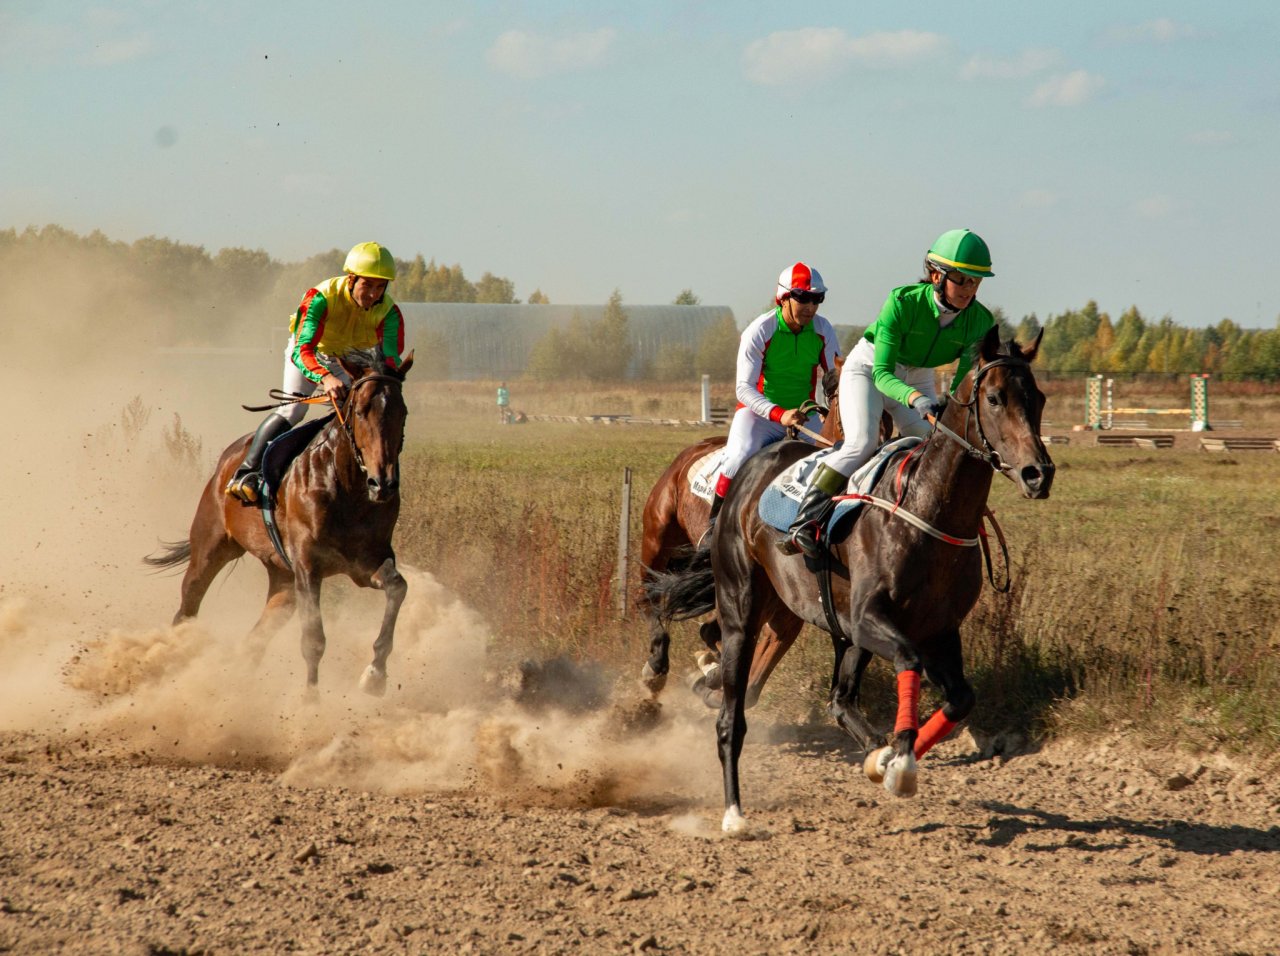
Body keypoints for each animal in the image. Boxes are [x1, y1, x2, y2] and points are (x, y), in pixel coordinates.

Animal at [145, 355, 414, 691]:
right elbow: (313, 640)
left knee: (254, 639)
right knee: (187, 609)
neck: (346, 487)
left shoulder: (365, 563)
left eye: (402, 412)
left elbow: (398, 587)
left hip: (282, 578)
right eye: (361, 411)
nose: (384, 484)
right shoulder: (308, 566)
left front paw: (375, 674)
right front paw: (310, 698)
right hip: (210, 548)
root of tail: (227, 461)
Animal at [645, 330, 1054, 829]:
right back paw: (733, 810)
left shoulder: (937, 629)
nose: (1038, 473)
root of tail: (751, 468)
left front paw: (892, 760)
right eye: (994, 399)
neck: (928, 509)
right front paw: (899, 760)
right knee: (728, 711)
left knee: (833, 698)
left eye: (1038, 398)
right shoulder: (866, 620)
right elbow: (907, 662)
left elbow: (960, 697)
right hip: (733, 597)